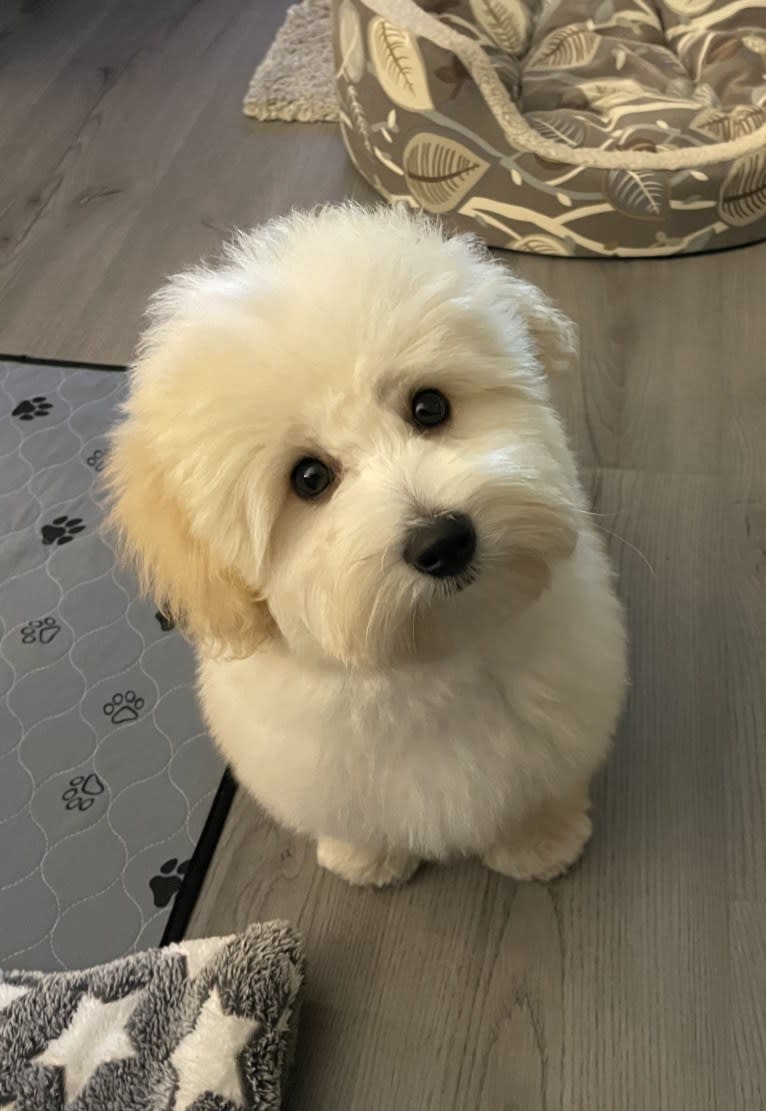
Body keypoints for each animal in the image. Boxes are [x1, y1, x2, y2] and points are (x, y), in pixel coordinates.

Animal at [104, 206, 622, 884]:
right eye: (309, 478)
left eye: (429, 406)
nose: (443, 540)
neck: (435, 653)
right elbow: (355, 816)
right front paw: (366, 857)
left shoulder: (562, 708)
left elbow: (537, 787)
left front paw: (539, 841)